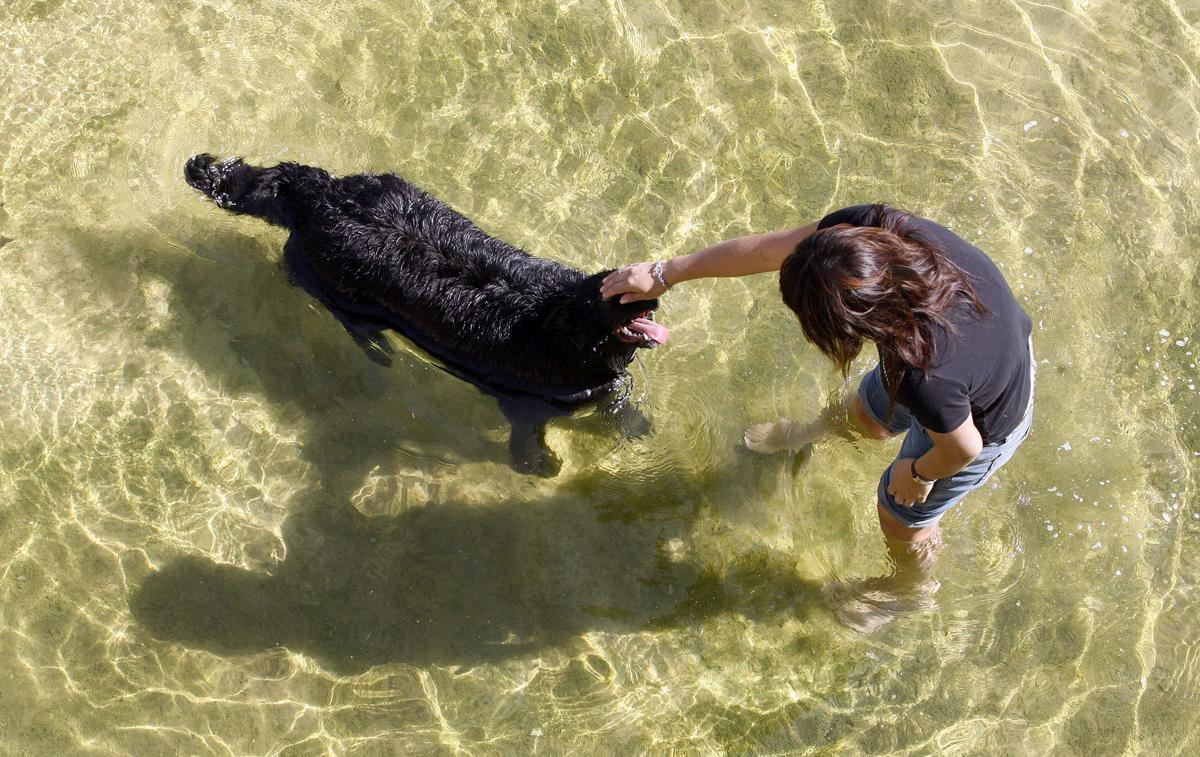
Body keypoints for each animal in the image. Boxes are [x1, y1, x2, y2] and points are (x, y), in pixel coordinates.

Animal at [182, 154, 667, 477]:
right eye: (614, 296)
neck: (549, 321)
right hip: (332, 280)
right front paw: (543, 464)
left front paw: (636, 423)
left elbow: (615, 399)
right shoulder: (526, 400)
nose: (654, 296)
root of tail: (317, 194)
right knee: (345, 315)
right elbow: (527, 438)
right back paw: (377, 349)